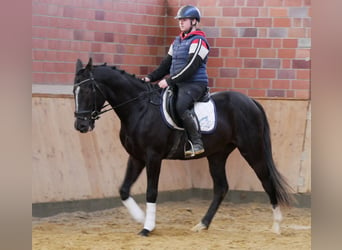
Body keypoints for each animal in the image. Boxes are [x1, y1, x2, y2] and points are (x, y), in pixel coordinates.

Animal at [73, 58, 292, 236]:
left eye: (88, 90)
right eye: (74, 90)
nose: (81, 126)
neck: (140, 109)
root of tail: (251, 101)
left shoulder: (153, 157)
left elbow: (151, 191)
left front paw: (147, 227)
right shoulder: (136, 157)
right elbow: (124, 189)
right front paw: (140, 217)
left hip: (251, 150)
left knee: (266, 180)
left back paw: (276, 225)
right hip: (217, 155)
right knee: (221, 187)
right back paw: (202, 224)